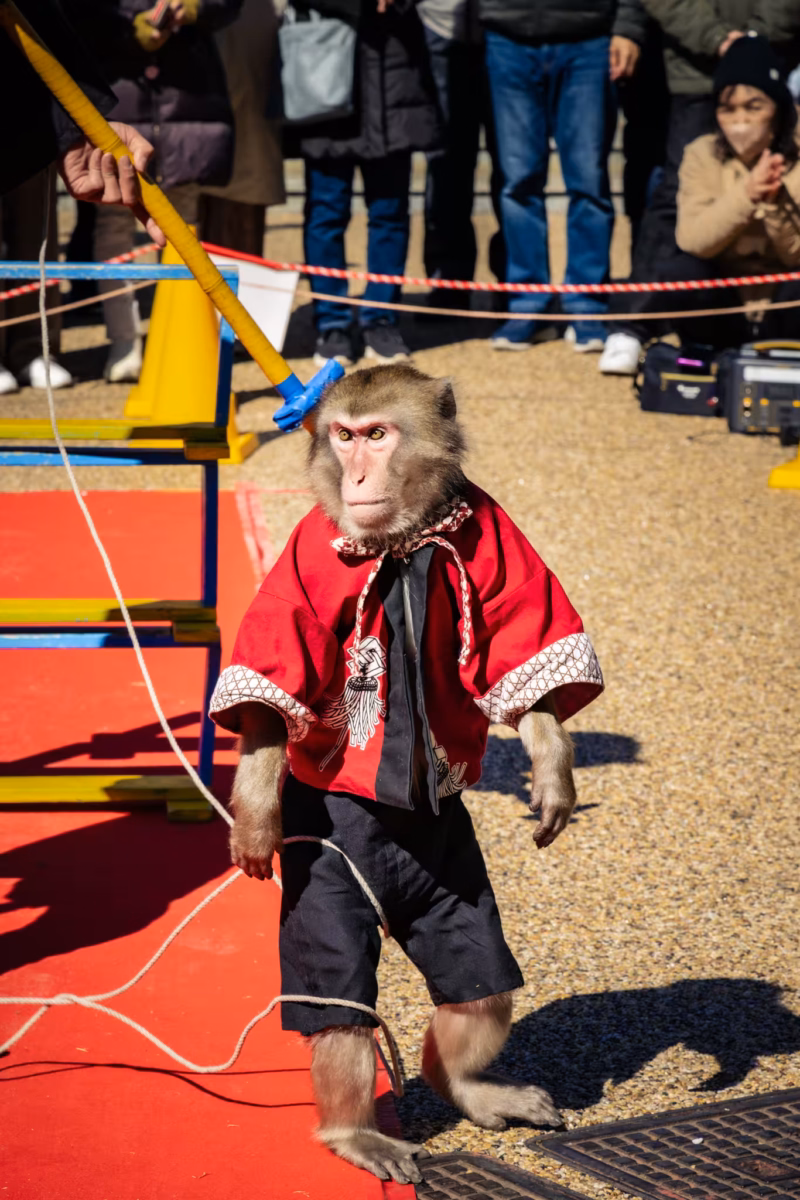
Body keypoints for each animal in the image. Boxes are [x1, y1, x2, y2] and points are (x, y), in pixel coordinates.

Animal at [210, 364, 603, 1185]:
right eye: (344, 436)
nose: (357, 474)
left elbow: (524, 650)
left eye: (378, 435)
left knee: (477, 982)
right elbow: (271, 696)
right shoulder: (308, 557)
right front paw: (256, 817)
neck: (400, 543)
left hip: (452, 870)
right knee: (341, 1009)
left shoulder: (489, 530)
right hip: (329, 867)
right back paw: (352, 1132)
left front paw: (553, 769)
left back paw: (461, 1084)